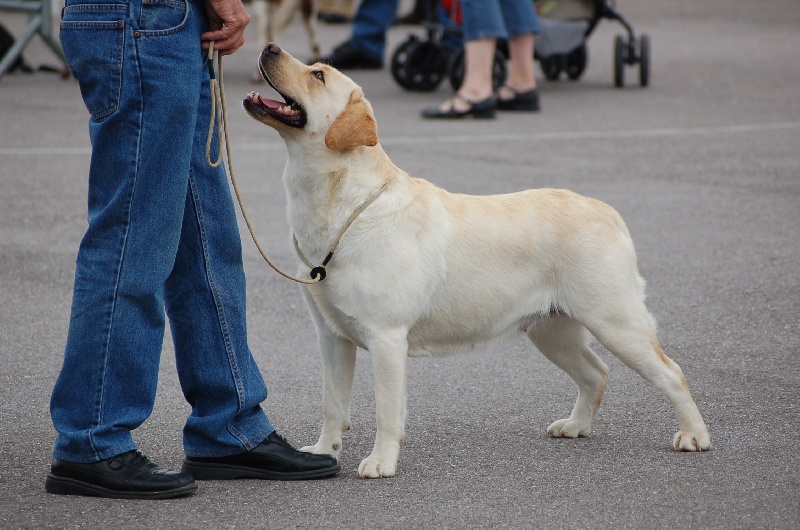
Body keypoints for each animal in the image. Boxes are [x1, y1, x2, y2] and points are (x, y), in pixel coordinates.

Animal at [242, 43, 712, 476]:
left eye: (318, 75)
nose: (268, 47)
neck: (345, 209)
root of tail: (607, 210)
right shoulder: (332, 337)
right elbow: (333, 405)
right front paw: (323, 454)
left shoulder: (386, 338)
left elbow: (386, 411)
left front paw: (380, 462)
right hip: (553, 330)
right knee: (596, 373)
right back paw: (576, 426)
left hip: (616, 321)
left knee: (672, 373)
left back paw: (693, 436)